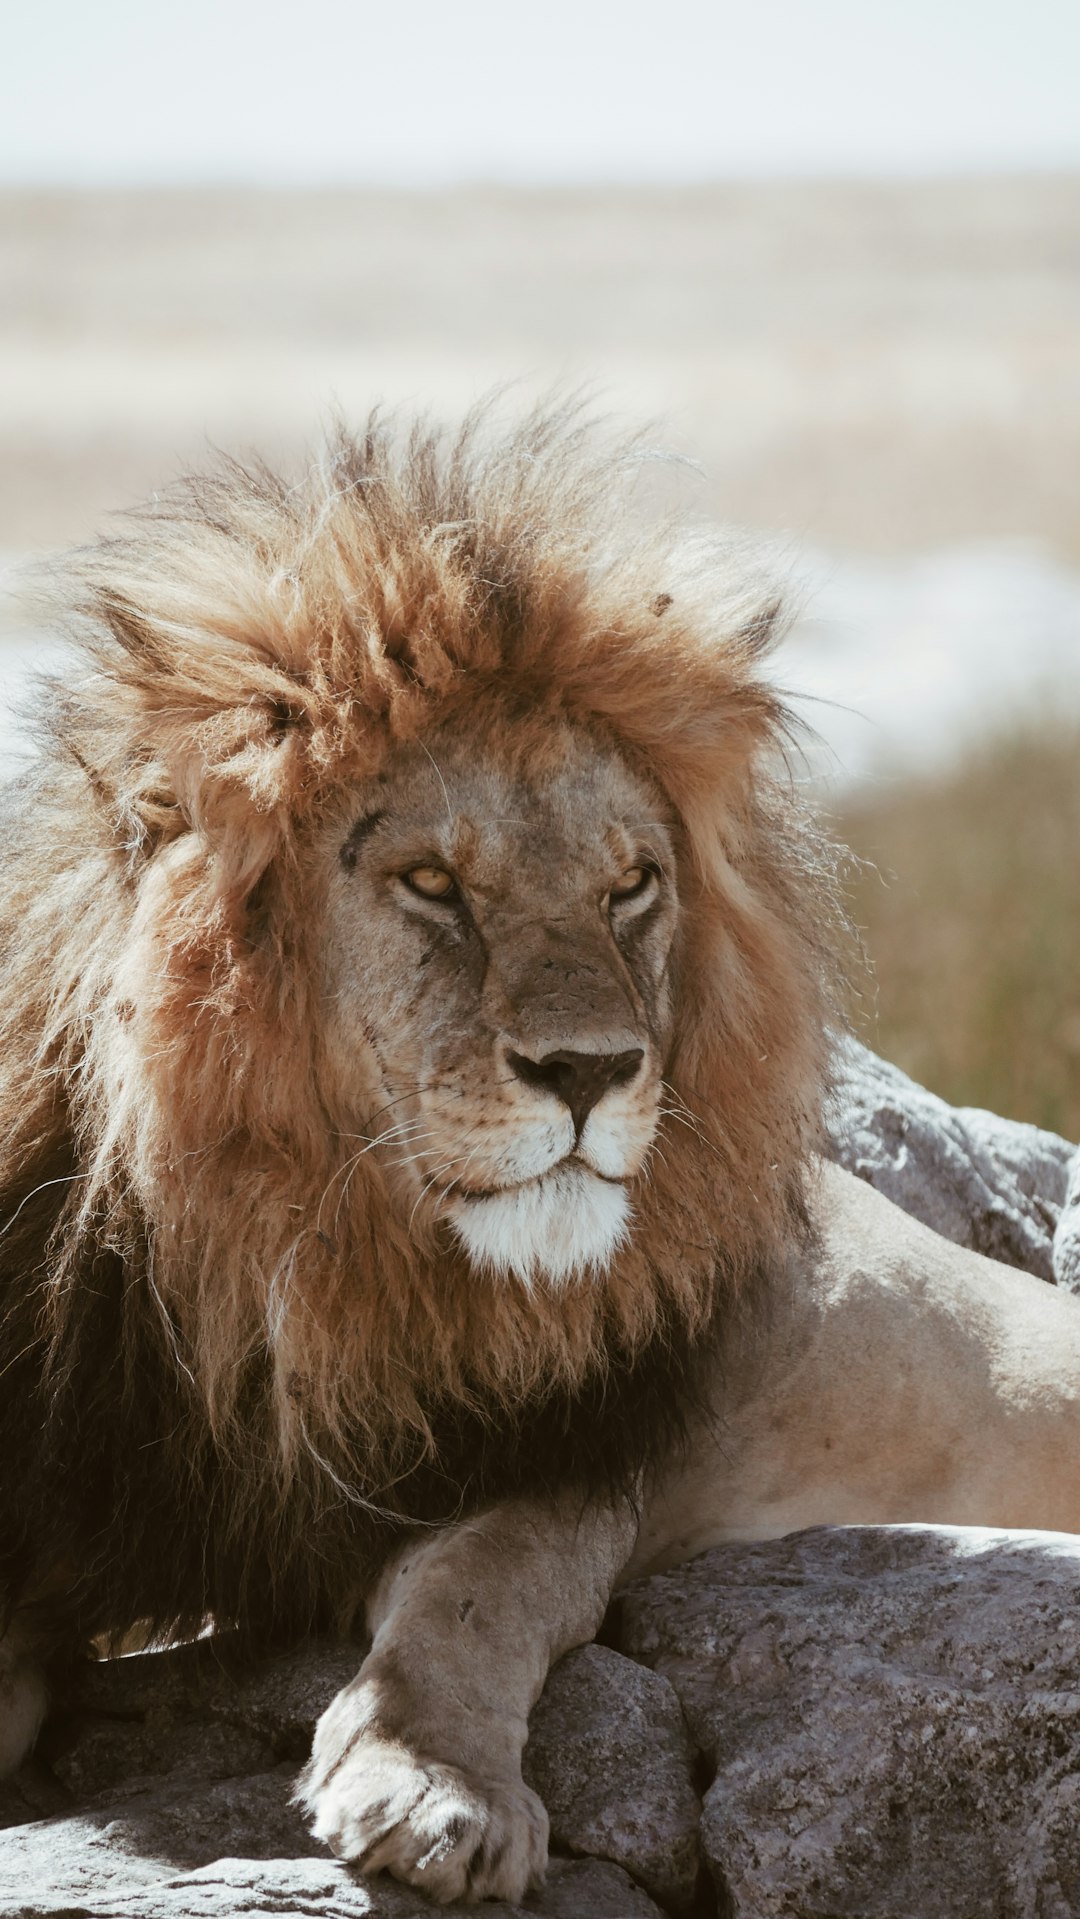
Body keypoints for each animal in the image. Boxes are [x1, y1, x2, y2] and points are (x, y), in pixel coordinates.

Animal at [2, 404, 1080, 1903]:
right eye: (432, 883)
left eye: (630, 885)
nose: (591, 1069)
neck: (298, 1264)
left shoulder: (567, 1456)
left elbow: (479, 1586)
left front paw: (432, 1785)